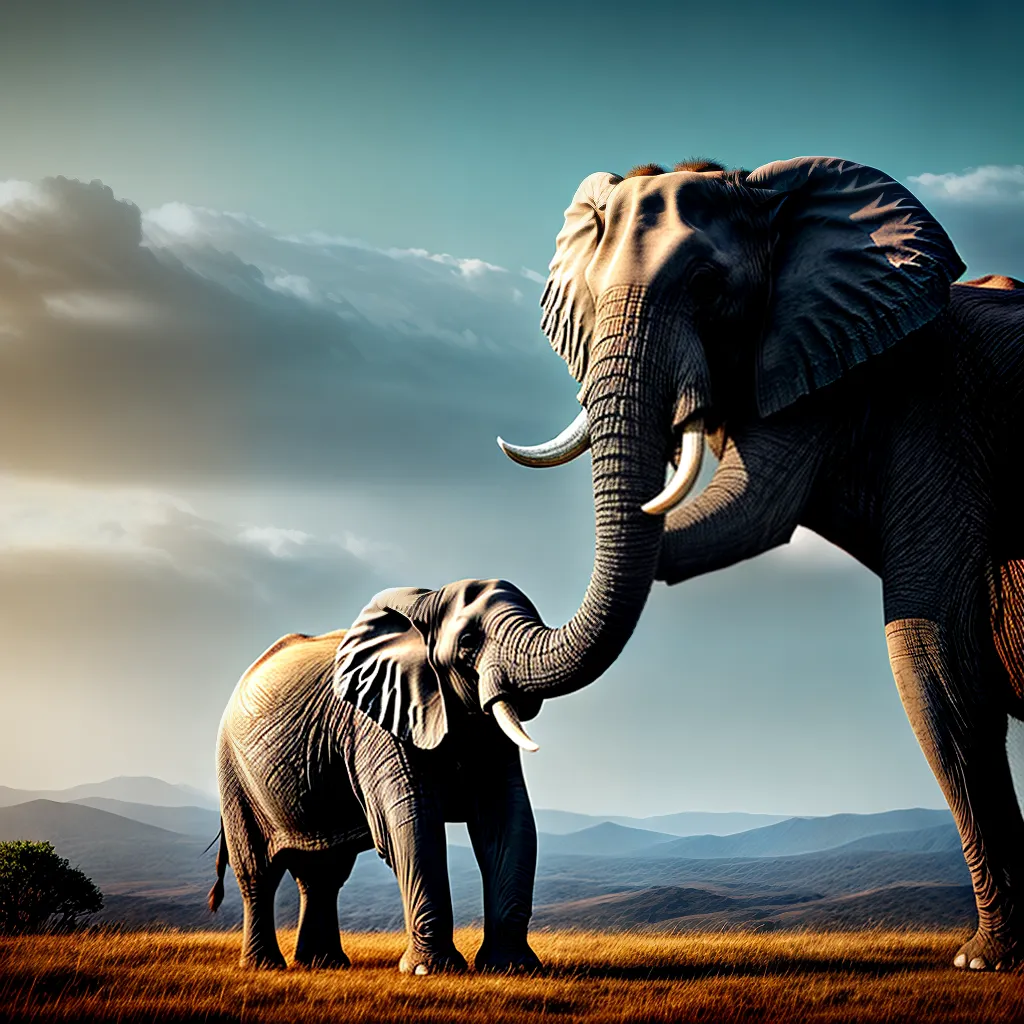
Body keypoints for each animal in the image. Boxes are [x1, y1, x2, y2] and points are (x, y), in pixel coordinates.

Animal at [208, 578, 544, 974]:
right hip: (234, 773)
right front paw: (429, 970)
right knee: (258, 872)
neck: (426, 604)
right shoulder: (374, 721)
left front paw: (513, 968)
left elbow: (507, 814)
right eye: (468, 642)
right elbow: (413, 820)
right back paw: (264, 966)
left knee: (323, 873)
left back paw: (323, 963)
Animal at [460, 156, 1024, 971]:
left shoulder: (932, 400)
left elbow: (926, 651)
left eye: (707, 287)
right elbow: (754, 512)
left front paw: (985, 961)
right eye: (589, 295)